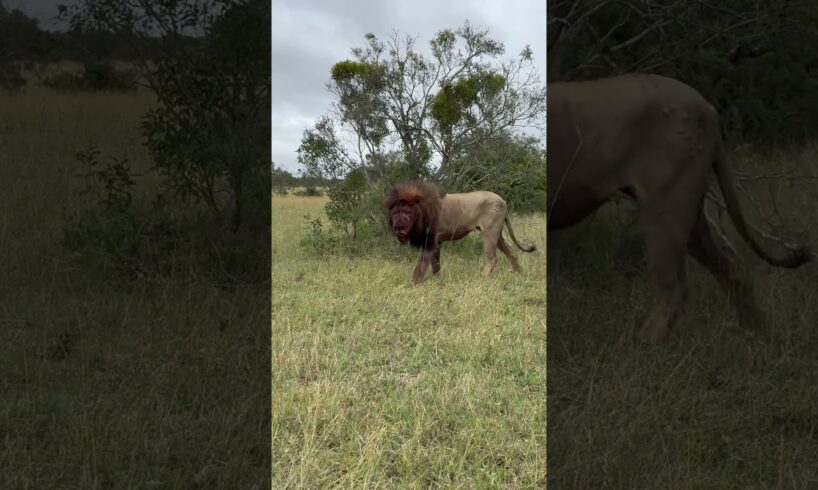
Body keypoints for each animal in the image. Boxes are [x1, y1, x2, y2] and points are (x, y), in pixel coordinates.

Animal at [382, 181, 536, 284]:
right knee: (511, 252)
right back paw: (519, 274)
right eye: (395, 213)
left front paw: (413, 283)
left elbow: (421, 265)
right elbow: (435, 264)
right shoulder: (436, 242)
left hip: (490, 233)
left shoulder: (431, 242)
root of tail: (503, 201)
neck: (420, 214)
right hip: (497, 234)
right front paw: (438, 280)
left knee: (492, 258)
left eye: (406, 212)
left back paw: (482, 277)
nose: (398, 227)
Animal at [548, 73, 811, 342]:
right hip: (691, 213)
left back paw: (641, 344)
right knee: (732, 272)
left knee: (674, 290)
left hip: (664, 209)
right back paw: (758, 336)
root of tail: (708, 109)